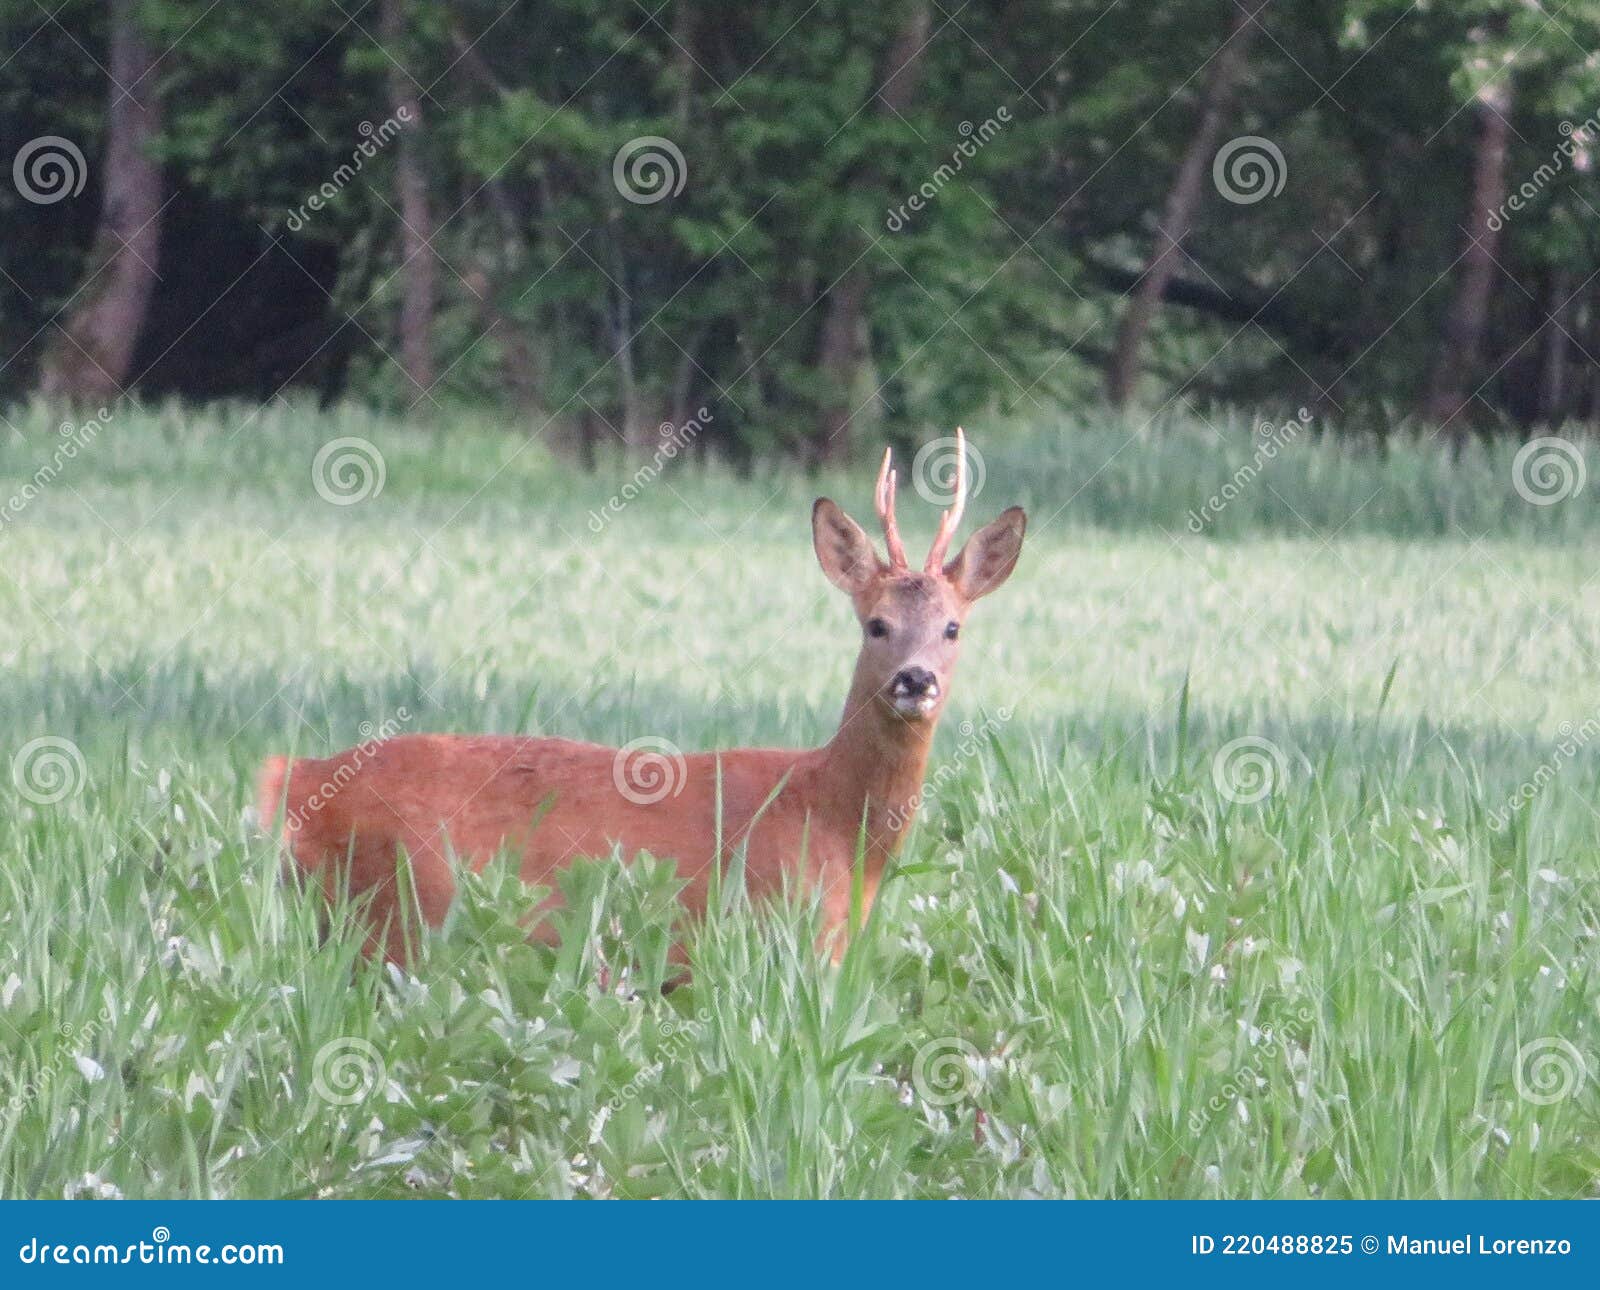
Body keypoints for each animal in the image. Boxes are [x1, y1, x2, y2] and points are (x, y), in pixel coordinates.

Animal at [252, 428, 1024, 966]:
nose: (915, 680)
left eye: (952, 626)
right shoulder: (784, 936)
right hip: (403, 913)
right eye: (876, 624)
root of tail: (294, 782)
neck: (834, 822)